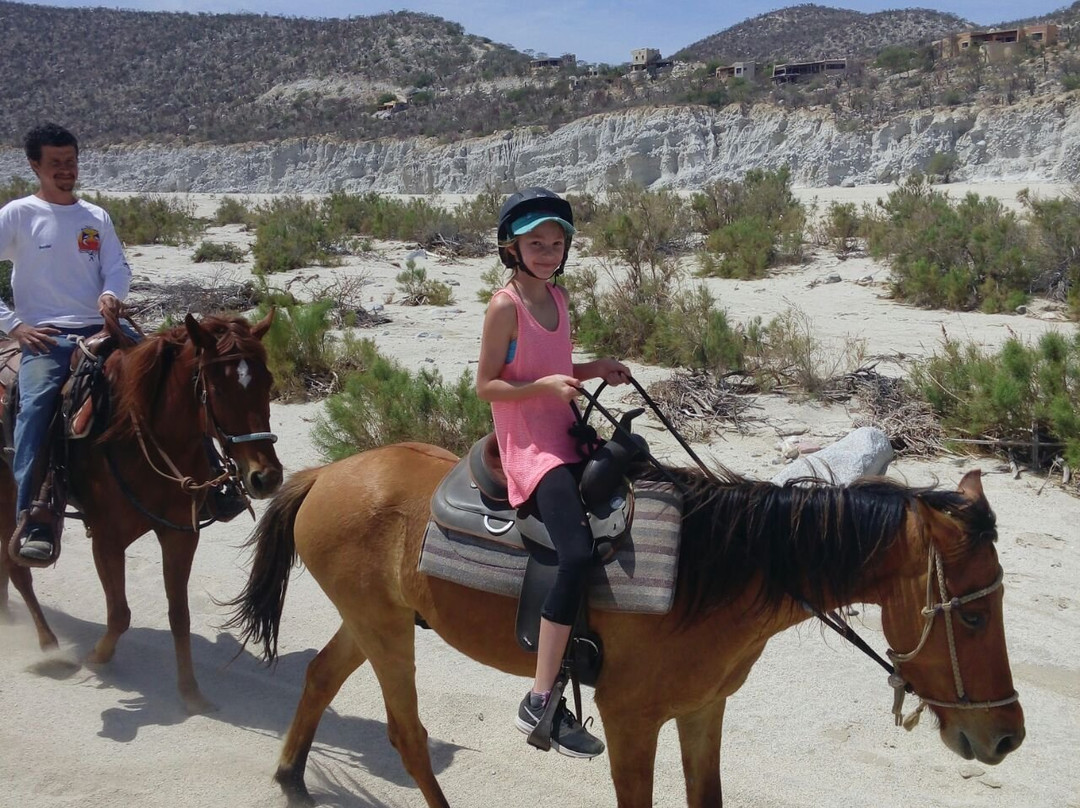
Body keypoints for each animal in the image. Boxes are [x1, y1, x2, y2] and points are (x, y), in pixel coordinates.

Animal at [0, 313, 282, 708]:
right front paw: (98, 657)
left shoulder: (179, 535)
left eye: (267, 382)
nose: (266, 477)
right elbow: (119, 614)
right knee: (17, 567)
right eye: (216, 388)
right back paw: (49, 646)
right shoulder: (107, 539)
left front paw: (190, 691)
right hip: (8, 491)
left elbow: (180, 615)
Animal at [227, 445, 1019, 803]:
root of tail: (326, 473)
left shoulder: (702, 712)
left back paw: (291, 777)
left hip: (374, 622)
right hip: (385, 632)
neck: (710, 573)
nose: (1007, 738)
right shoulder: (632, 721)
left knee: (321, 676)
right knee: (408, 736)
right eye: (976, 613)